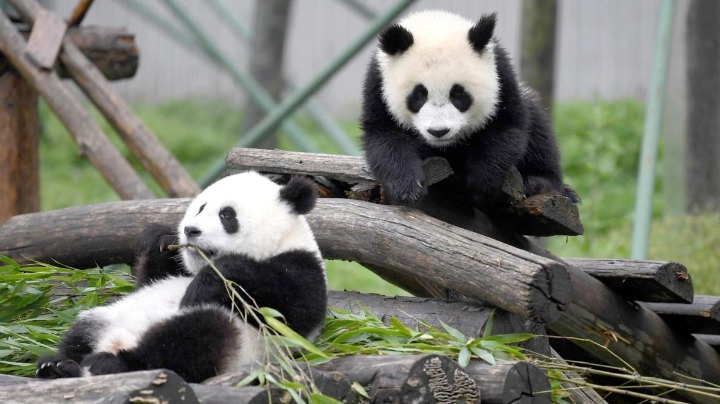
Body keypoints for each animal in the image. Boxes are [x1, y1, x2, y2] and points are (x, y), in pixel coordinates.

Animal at [36, 172, 327, 383]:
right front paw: (161, 241)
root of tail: (116, 342)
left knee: (190, 340)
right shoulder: (169, 273)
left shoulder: (302, 267)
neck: (277, 244)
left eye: (226, 215)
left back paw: (109, 363)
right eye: (200, 208)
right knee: (80, 334)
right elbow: (150, 276)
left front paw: (207, 282)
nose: (190, 230)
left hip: (234, 339)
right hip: (107, 315)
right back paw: (57, 365)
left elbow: (291, 309)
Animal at [361, 9, 578, 206]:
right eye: (419, 95)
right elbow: (385, 138)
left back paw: (539, 182)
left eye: (458, 94)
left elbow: (505, 130)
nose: (439, 131)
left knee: (539, 134)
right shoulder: (377, 86)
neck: (435, 23)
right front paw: (408, 188)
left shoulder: (501, 77)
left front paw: (480, 187)